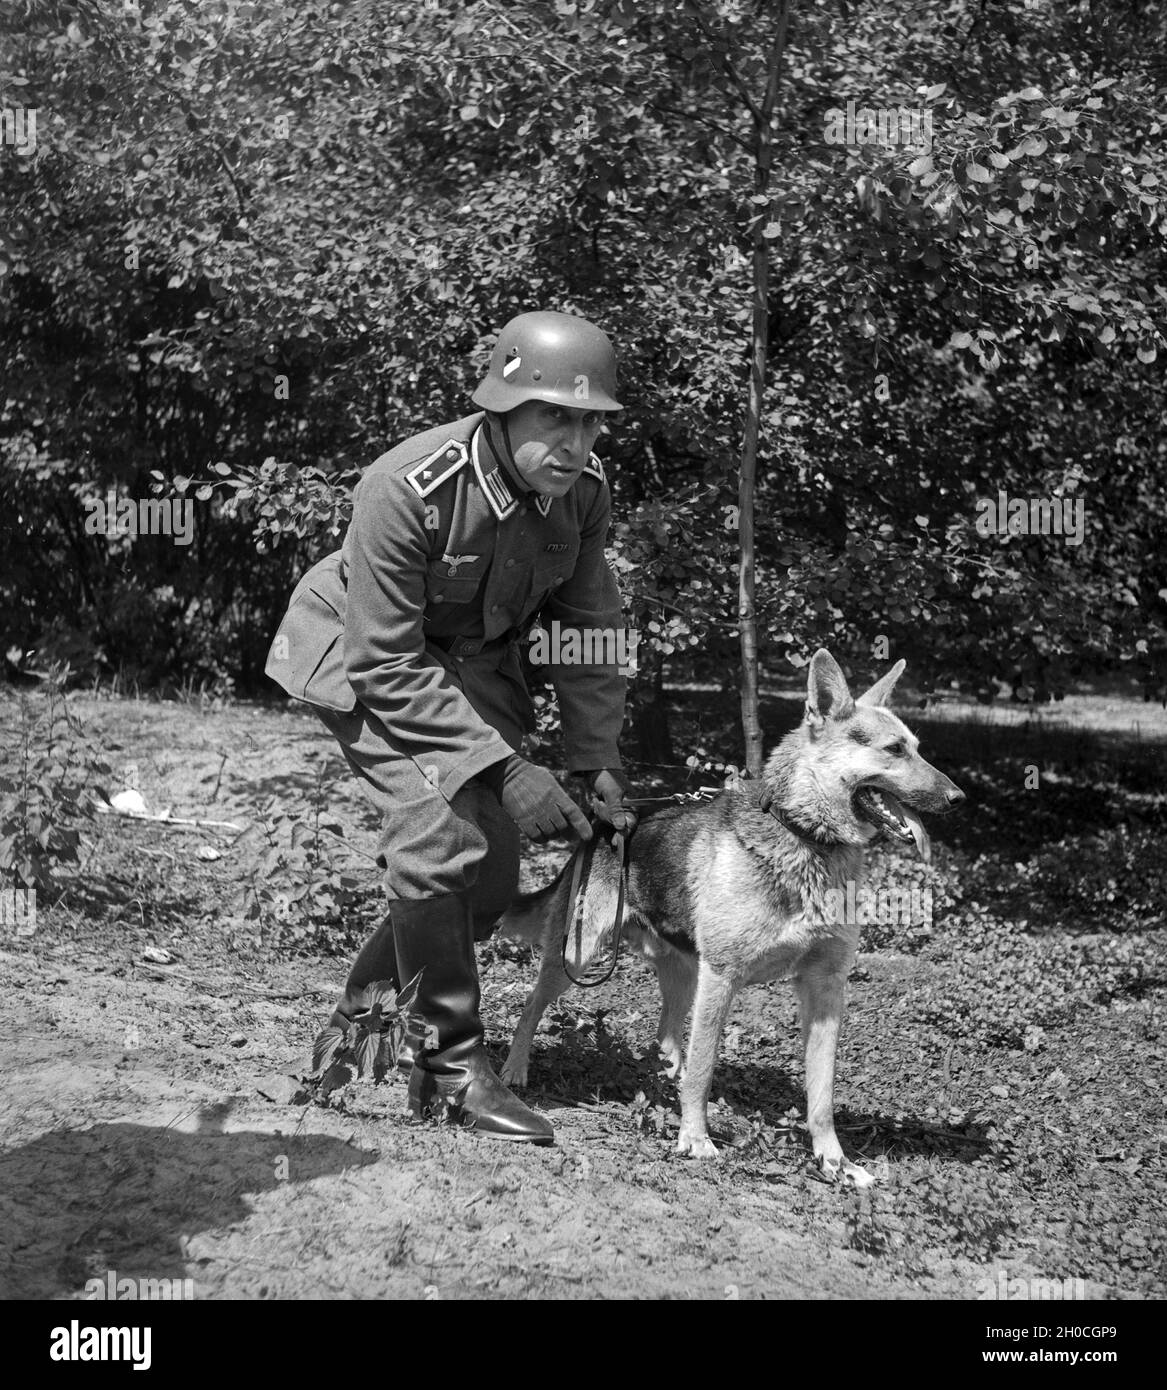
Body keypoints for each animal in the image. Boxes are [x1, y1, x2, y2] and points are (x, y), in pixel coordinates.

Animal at [497, 650, 961, 1184]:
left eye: (918, 749)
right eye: (895, 750)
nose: (958, 798)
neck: (804, 837)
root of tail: (604, 822)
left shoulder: (825, 988)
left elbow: (821, 1096)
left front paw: (835, 1162)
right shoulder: (722, 977)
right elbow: (704, 1067)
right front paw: (695, 1139)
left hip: (683, 974)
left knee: (667, 1037)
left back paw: (665, 1082)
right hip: (576, 958)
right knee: (533, 1007)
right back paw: (514, 1070)